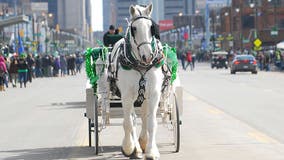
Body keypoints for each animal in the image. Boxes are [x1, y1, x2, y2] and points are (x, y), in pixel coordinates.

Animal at [110, 3, 164, 159]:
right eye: (134, 28)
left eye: (151, 27)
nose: (148, 56)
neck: (141, 65)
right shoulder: (127, 96)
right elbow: (128, 122)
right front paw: (129, 147)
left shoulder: (154, 94)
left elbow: (151, 122)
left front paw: (151, 151)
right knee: (132, 119)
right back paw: (136, 148)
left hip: (143, 96)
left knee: (144, 117)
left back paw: (143, 142)